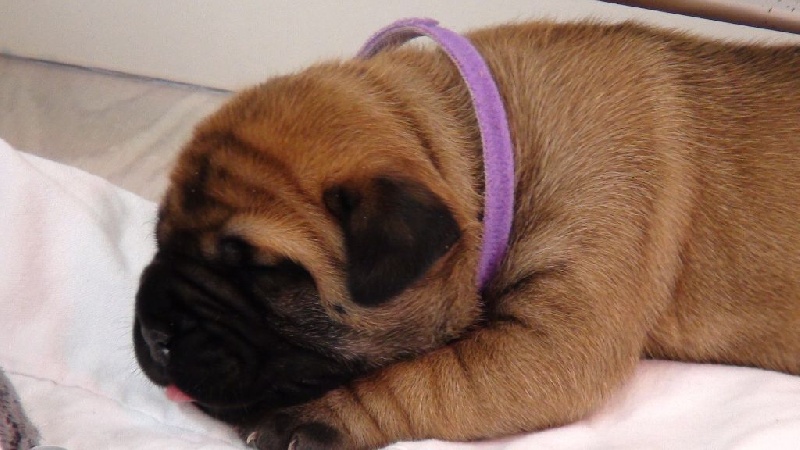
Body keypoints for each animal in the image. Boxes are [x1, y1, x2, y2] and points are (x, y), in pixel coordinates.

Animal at [133, 20, 800, 449]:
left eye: (265, 273)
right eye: (158, 240)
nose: (154, 334)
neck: (496, 143)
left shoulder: (554, 343)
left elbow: (432, 379)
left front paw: (316, 418)